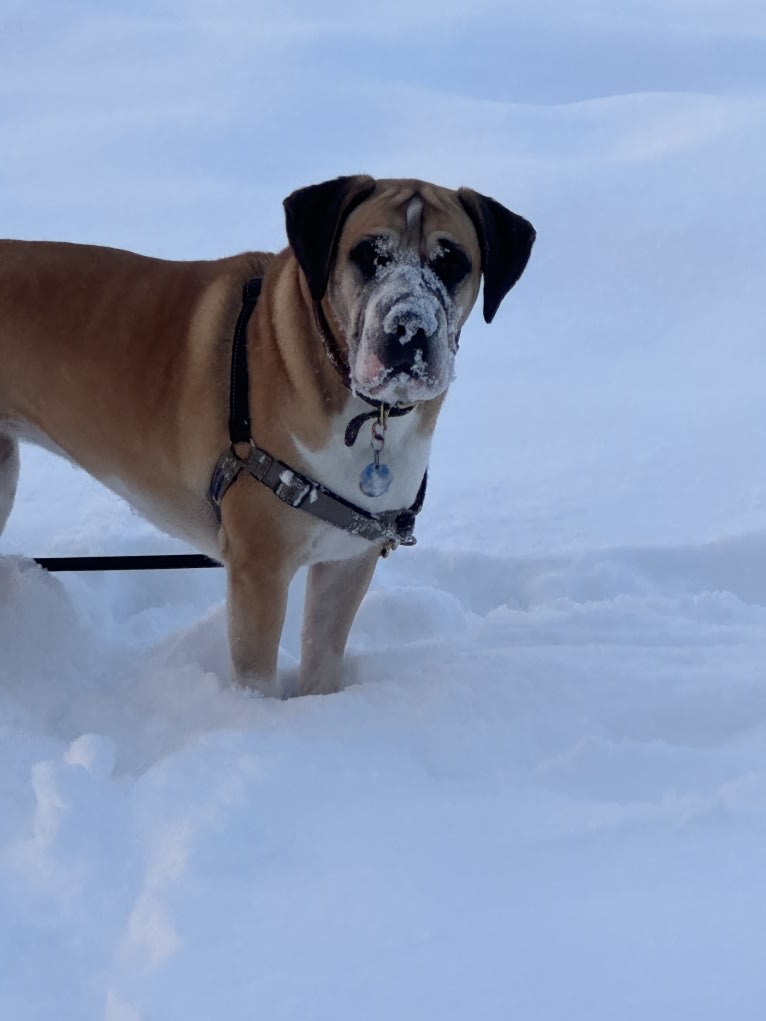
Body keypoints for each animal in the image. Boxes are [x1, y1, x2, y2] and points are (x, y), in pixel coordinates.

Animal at [0, 179, 535, 698]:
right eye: (368, 254)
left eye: (452, 262)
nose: (407, 328)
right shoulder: (261, 566)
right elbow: (256, 676)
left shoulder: (347, 561)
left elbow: (322, 659)